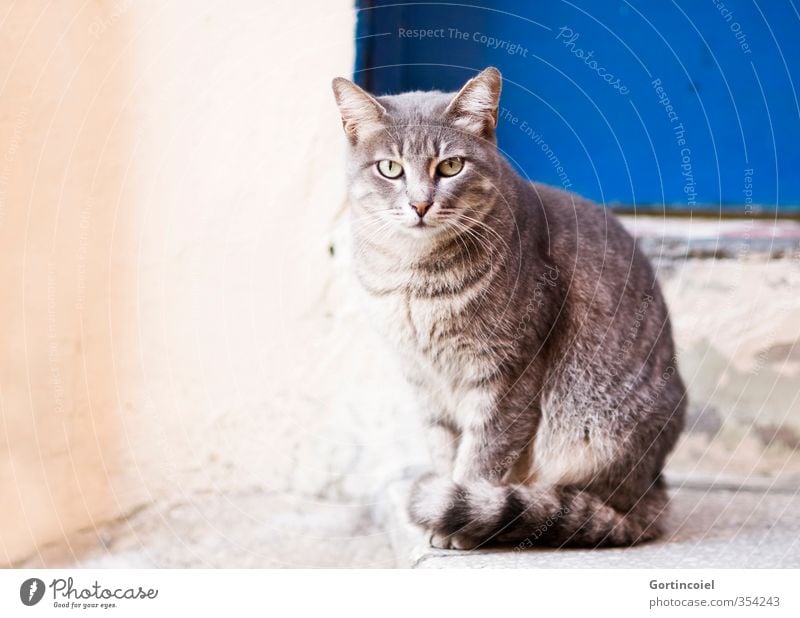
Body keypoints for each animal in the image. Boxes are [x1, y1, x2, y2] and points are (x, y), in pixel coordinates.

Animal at [328, 68, 684, 548]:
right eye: (390, 168)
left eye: (450, 166)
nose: (420, 204)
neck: (413, 281)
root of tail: (656, 490)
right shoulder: (424, 380)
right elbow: (445, 448)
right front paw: (445, 507)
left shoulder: (508, 374)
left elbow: (483, 452)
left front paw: (456, 519)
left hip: (597, 433)